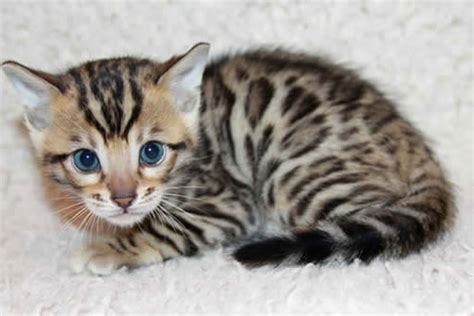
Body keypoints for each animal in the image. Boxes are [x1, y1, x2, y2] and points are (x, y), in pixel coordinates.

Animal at [3, 43, 456, 276]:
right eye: (86, 160)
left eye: (151, 152)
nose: (124, 198)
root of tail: (408, 137)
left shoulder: (229, 203)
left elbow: (167, 228)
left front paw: (108, 248)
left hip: (292, 174)